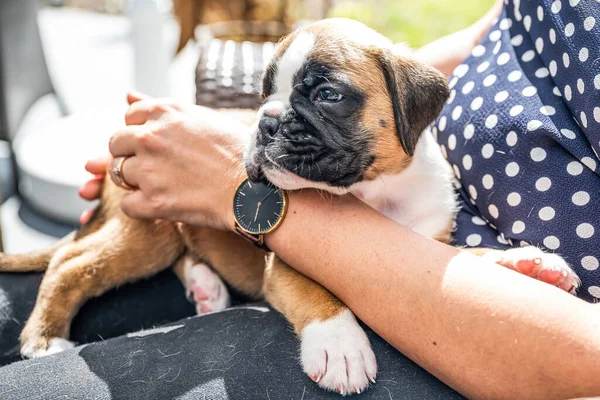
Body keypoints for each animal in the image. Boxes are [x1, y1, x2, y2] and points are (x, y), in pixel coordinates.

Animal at [1, 18, 580, 394]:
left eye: (326, 94)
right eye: (263, 93)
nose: (265, 121)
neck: (374, 192)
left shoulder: (428, 240)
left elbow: (466, 257)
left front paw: (528, 261)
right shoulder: (285, 265)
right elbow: (318, 292)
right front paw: (340, 344)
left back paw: (206, 287)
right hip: (149, 230)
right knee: (70, 262)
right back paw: (45, 338)